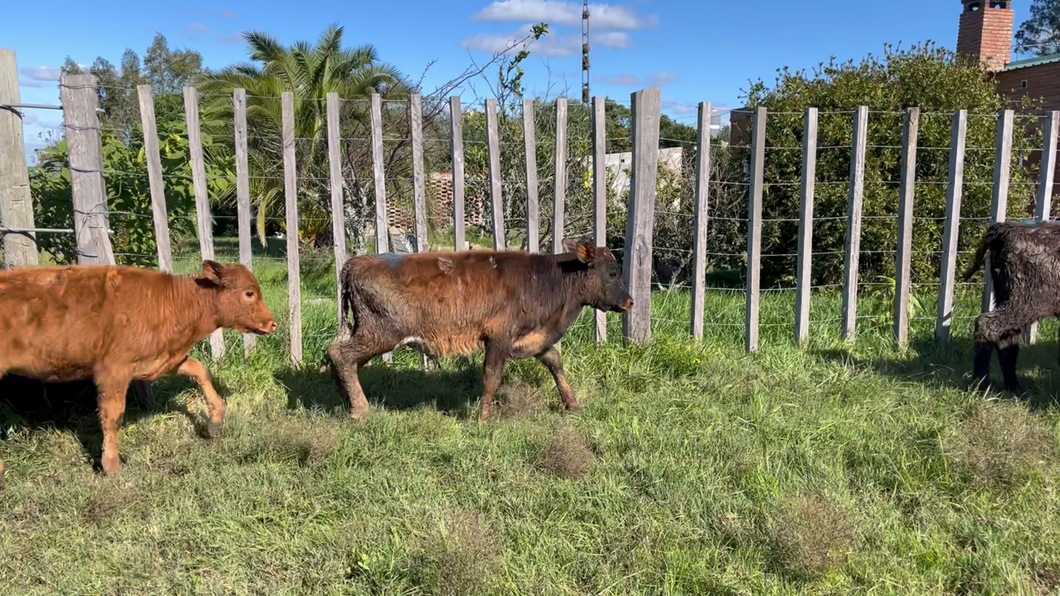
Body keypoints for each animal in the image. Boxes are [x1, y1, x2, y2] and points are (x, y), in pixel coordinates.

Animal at [0, 258, 277, 477]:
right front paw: (111, 466)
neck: (174, 303)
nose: (272, 324)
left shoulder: (166, 359)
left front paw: (215, 422)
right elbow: (113, 416)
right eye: (249, 293)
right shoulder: (113, 370)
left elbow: (201, 372)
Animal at [326, 236, 631, 417]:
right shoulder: (499, 338)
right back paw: (360, 409)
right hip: (380, 334)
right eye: (612, 272)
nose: (629, 301)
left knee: (344, 359)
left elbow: (555, 361)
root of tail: (355, 262)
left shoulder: (533, 338)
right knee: (339, 353)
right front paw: (484, 417)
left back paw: (344, 397)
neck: (545, 279)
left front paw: (573, 403)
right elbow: (492, 376)